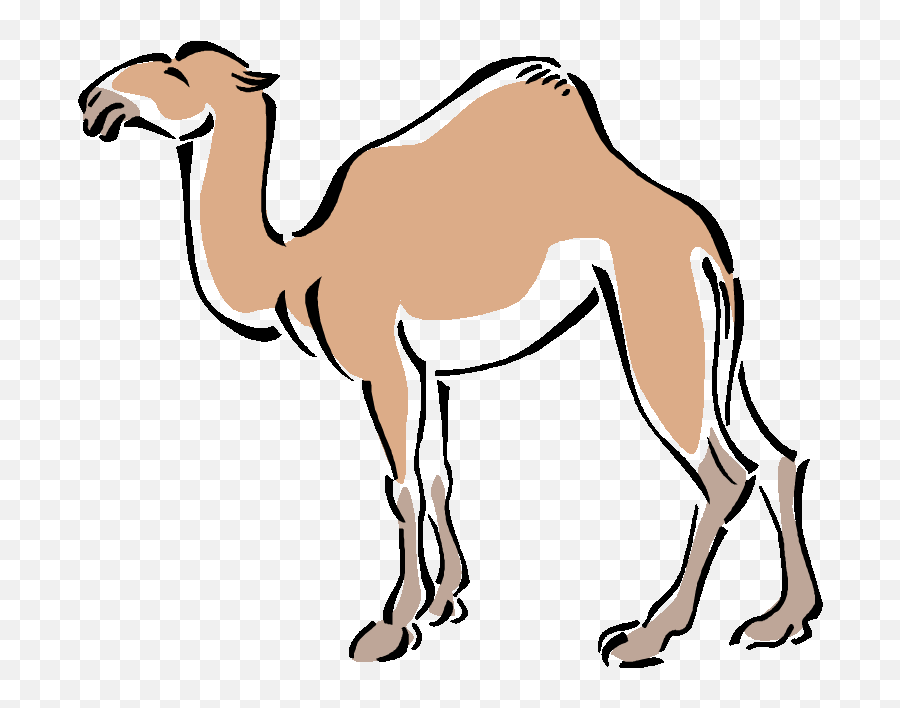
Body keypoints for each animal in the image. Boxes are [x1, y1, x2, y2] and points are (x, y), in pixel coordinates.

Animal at [79, 42, 822, 666]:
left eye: (175, 74)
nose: (94, 101)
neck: (297, 267)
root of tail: (705, 244)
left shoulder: (382, 362)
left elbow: (401, 484)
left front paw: (391, 625)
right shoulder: (430, 369)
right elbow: (438, 475)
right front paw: (444, 602)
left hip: (656, 316)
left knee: (724, 473)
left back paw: (647, 634)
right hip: (719, 342)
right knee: (778, 455)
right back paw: (781, 620)